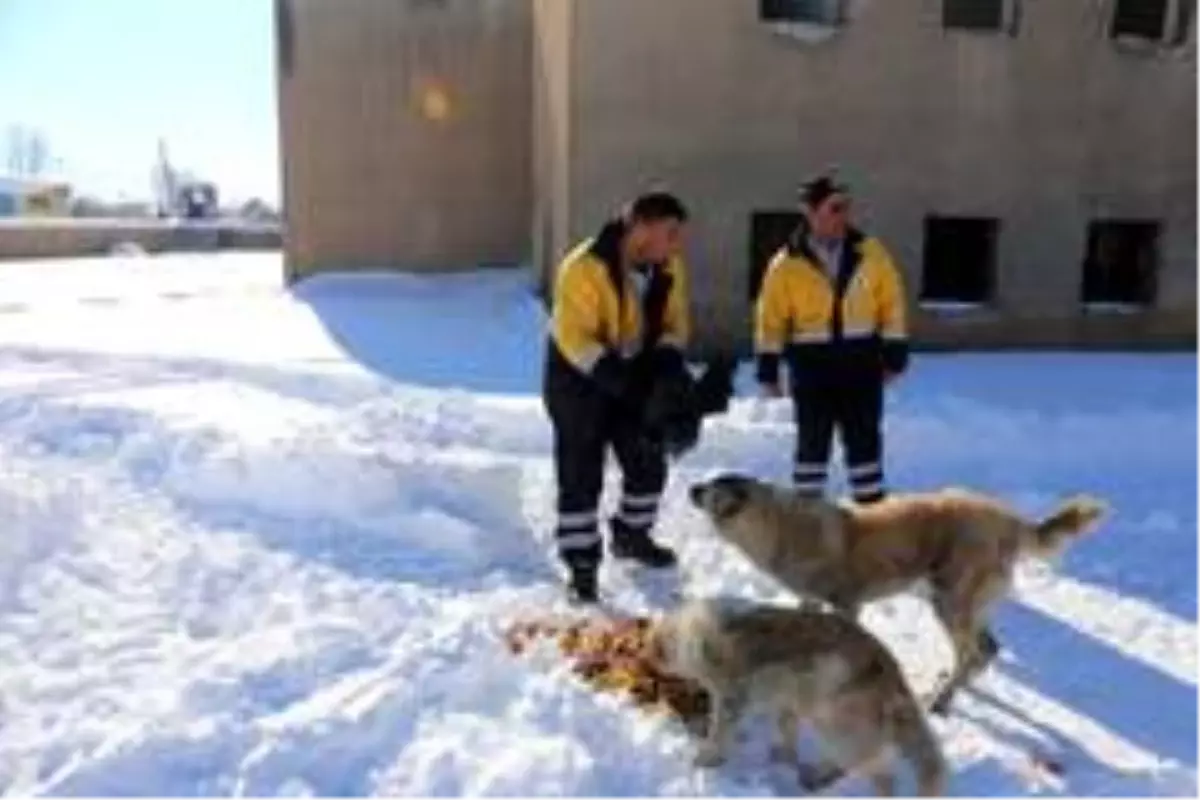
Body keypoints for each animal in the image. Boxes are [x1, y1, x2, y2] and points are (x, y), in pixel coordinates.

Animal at [648, 597, 945, 796]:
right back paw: (814, 775)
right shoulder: (786, 702)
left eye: (652, 649)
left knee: (883, 774)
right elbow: (787, 731)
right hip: (834, 725)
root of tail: (896, 679)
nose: (650, 657)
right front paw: (783, 756)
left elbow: (719, 733)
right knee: (866, 764)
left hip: (838, 729)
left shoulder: (733, 697)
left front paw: (704, 761)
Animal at [686, 470, 1104, 714]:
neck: (779, 526)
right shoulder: (811, 598)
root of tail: (1008, 520)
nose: (690, 486)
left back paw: (941, 699)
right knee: (985, 649)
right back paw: (955, 686)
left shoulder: (847, 605)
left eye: (708, 491)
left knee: (971, 651)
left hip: (949, 601)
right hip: (964, 604)